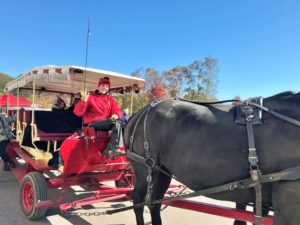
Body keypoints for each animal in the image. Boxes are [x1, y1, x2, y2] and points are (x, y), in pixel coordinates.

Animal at [123, 92, 300, 225]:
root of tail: (140, 113)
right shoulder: (288, 201)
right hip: (145, 169)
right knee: (139, 201)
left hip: (162, 171)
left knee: (154, 202)